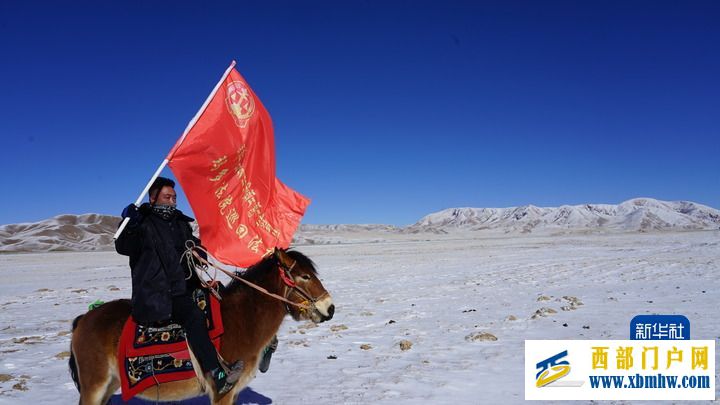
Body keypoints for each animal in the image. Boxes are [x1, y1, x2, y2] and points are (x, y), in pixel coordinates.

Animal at [69, 248, 336, 402]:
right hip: (94, 385)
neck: (242, 319)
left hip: (110, 384)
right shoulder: (222, 392)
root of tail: (84, 319)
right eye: (305, 276)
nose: (330, 308)